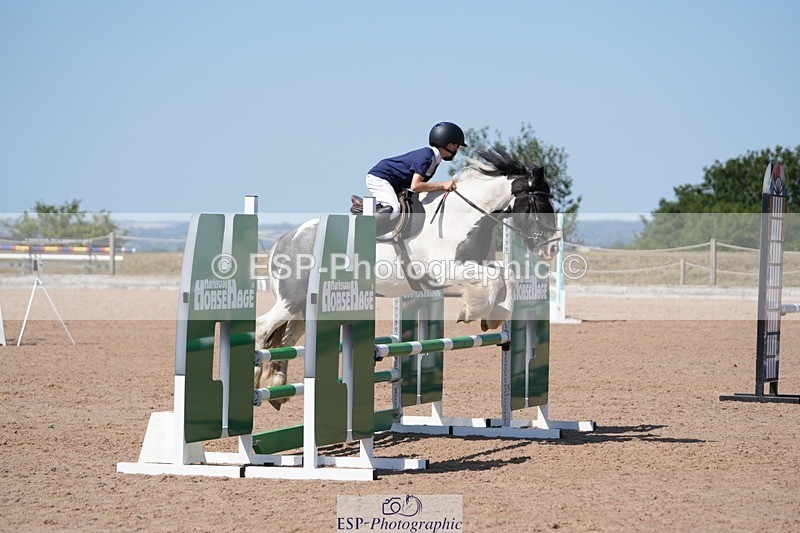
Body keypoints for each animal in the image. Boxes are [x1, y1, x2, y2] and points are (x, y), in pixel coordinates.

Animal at [255, 146, 558, 409]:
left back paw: (275, 386)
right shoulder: (447, 270)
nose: (553, 248)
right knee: (262, 329)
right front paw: (473, 312)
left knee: (283, 339)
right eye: (541, 203)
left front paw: (494, 317)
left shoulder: (477, 264)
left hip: (303, 310)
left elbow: (507, 277)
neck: (461, 217)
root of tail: (284, 240)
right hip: (291, 301)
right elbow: (494, 280)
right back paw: (256, 385)